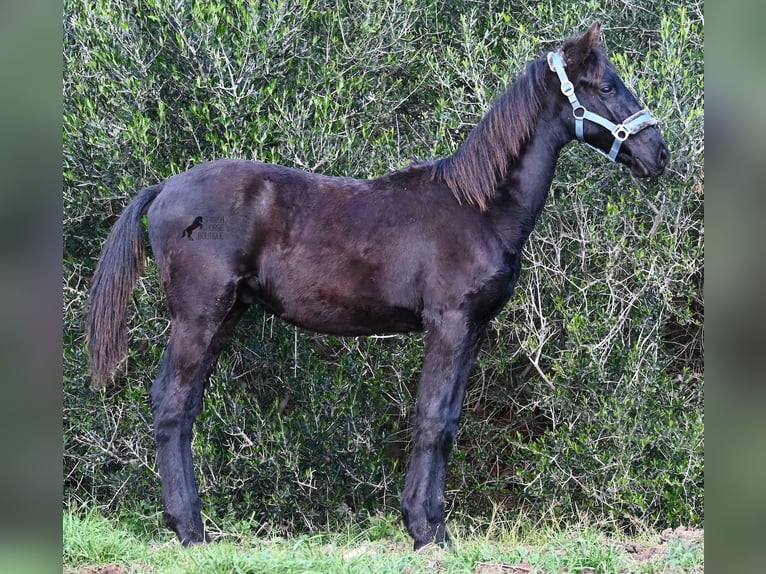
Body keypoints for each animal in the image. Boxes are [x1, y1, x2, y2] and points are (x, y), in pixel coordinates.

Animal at [87, 24, 668, 552]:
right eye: (608, 86)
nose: (658, 153)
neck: (478, 208)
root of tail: (165, 188)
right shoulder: (448, 323)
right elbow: (431, 419)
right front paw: (426, 532)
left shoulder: (474, 328)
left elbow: (450, 419)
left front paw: (433, 527)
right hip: (198, 316)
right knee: (171, 403)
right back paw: (189, 530)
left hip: (226, 316)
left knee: (184, 407)